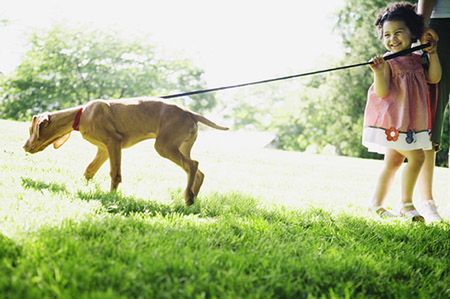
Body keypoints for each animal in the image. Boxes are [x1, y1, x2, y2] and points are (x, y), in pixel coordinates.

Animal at [23, 98, 229, 206]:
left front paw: (111, 197)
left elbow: (115, 173)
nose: (24, 147)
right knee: (197, 171)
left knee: (192, 165)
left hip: (164, 146)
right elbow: (89, 171)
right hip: (181, 146)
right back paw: (193, 196)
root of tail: (190, 113)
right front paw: (84, 189)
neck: (81, 114)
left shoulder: (114, 142)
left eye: (30, 129)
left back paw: (188, 196)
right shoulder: (103, 149)